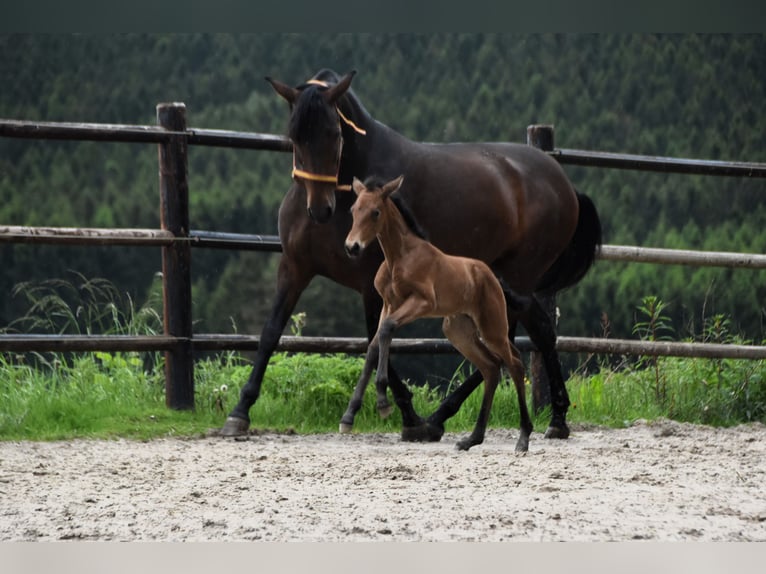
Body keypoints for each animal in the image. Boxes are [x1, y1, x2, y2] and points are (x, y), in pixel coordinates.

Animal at [346, 176, 536, 454]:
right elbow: (374, 344)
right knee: (491, 367)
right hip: (458, 331)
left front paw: (382, 402)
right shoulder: (389, 304)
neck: (399, 257)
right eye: (353, 210)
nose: (352, 247)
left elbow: (387, 329)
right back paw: (472, 439)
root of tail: (490, 275)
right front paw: (348, 415)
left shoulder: (422, 302)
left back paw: (523, 437)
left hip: (492, 327)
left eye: (376, 212)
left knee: (514, 363)